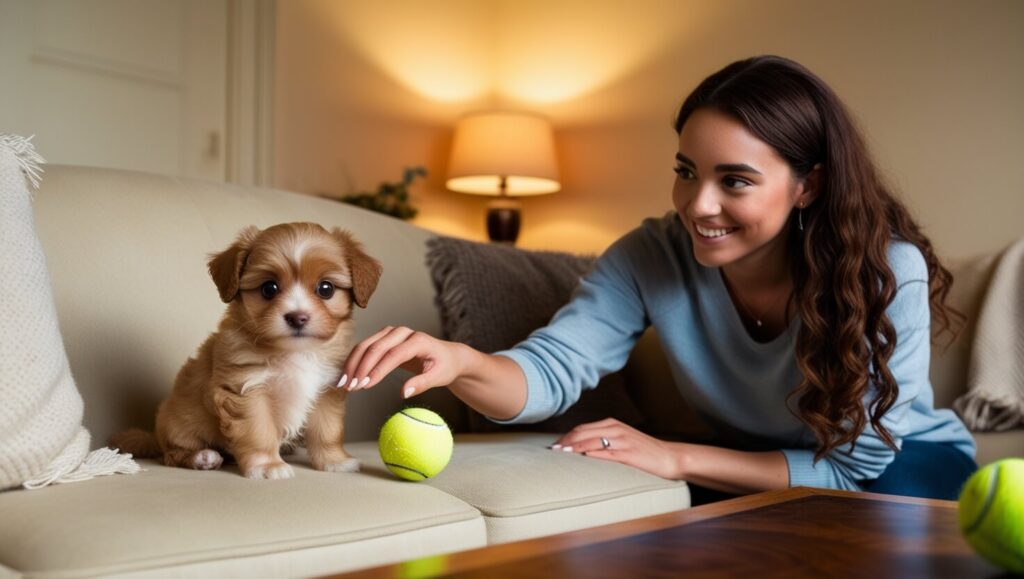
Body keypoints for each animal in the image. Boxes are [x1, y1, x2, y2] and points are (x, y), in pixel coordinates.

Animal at [112, 221, 382, 479]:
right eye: (269, 288)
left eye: (326, 289)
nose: (298, 317)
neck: (293, 352)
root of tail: (155, 436)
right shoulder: (247, 390)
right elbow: (259, 431)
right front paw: (267, 465)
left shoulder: (326, 389)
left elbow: (328, 430)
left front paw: (334, 460)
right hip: (178, 424)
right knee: (172, 454)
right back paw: (202, 457)